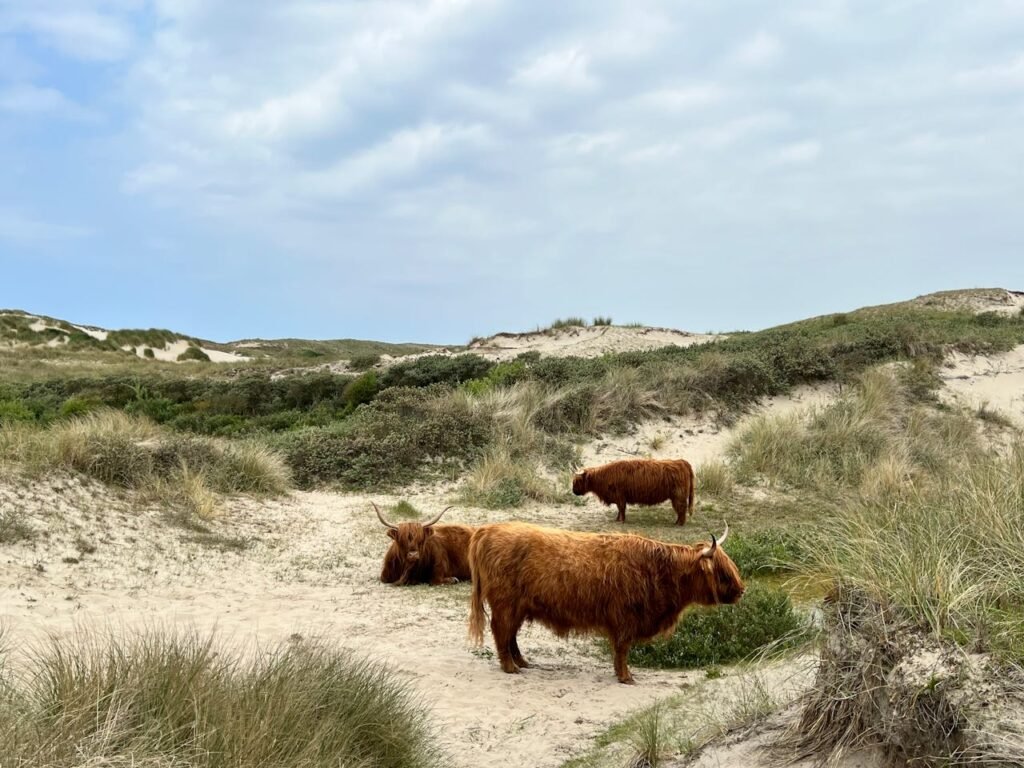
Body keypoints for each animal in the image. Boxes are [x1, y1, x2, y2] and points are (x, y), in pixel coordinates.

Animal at [466, 524, 745, 684]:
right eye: (722, 572)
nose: (741, 590)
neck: (658, 570)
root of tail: (488, 529)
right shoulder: (624, 619)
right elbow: (622, 649)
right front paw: (626, 677)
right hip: (506, 603)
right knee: (501, 630)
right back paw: (510, 667)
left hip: (519, 606)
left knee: (510, 634)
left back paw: (522, 662)